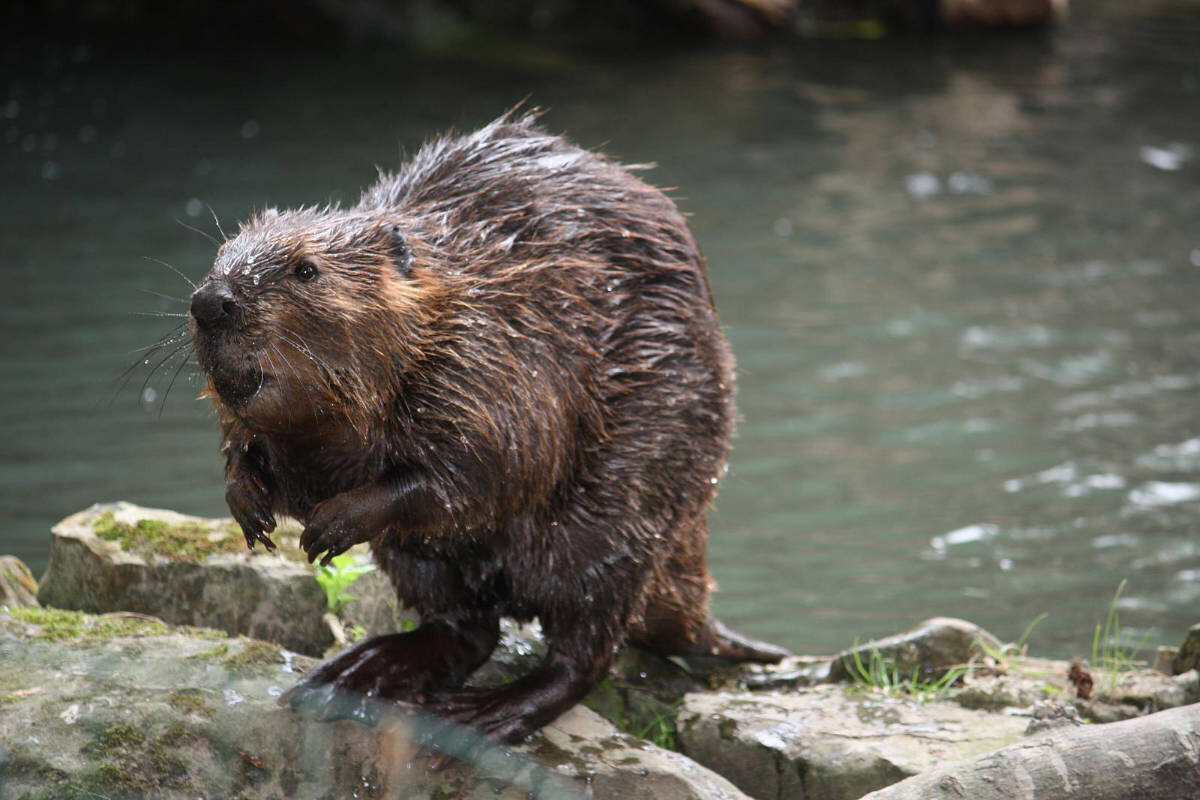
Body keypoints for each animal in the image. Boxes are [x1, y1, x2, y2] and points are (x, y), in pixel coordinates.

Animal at [187, 109, 787, 748]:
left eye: (307, 269)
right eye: (222, 253)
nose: (212, 302)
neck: (452, 299)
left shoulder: (492, 360)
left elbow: (483, 473)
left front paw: (333, 523)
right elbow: (251, 445)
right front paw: (247, 498)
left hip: (619, 516)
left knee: (583, 649)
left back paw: (488, 711)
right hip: (420, 563)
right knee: (465, 628)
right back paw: (356, 672)